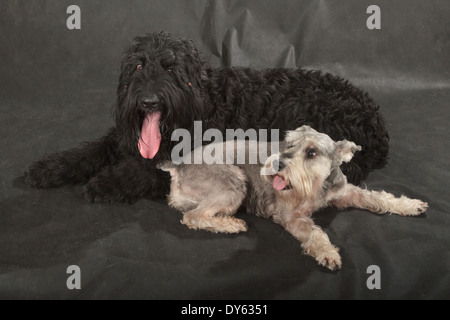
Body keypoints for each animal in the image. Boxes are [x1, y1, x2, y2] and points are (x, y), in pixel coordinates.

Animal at [25, 31, 390, 202]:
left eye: (171, 68)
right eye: (139, 66)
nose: (148, 100)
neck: (204, 100)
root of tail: (375, 121)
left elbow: (143, 171)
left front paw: (106, 182)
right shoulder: (123, 137)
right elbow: (91, 150)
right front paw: (50, 167)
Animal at [159, 125, 428, 270]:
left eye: (311, 152)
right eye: (289, 145)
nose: (277, 163)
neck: (317, 185)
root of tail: (178, 167)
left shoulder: (346, 192)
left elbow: (377, 197)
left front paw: (409, 204)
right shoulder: (292, 216)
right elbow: (315, 233)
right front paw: (327, 252)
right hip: (233, 183)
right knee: (193, 216)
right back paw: (231, 224)